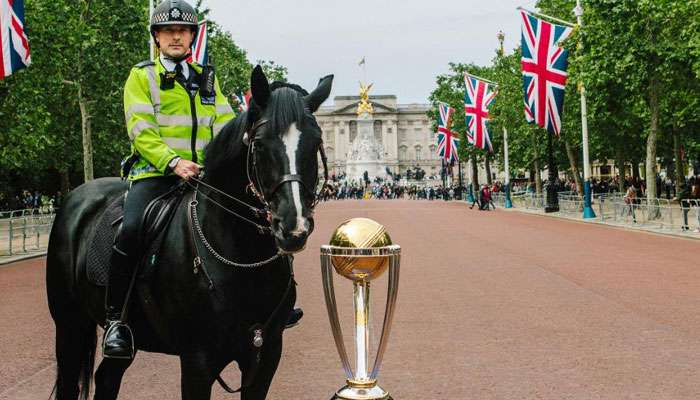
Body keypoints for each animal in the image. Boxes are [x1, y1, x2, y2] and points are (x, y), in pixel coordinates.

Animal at [45, 67, 334, 398]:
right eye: (259, 143)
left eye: (315, 142)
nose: (293, 226)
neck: (243, 260)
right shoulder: (198, 361)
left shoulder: (266, 355)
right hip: (70, 324)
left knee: (106, 378)